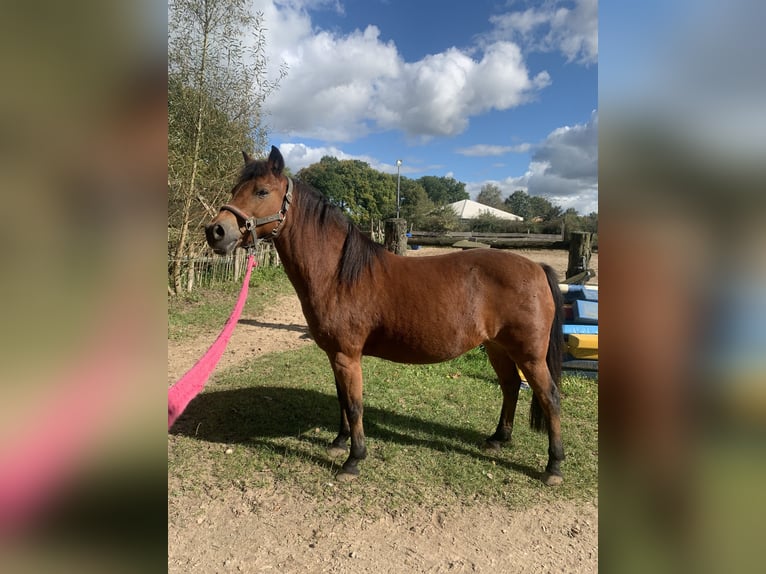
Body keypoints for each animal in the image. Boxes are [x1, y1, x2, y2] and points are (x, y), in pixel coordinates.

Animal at [207, 145, 568, 486]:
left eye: (262, 191)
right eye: (236, 187)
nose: (216, 231)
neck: (337, 274)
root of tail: (537, 267)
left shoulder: (347, 355)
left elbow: (354, 405)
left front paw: (353, 460)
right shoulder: (336, 355)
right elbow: (342, 400)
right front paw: (338, 442)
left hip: (529, 354)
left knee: (549, 397)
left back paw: (554, 466)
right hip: (498, 347)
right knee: (510, 386)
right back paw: (497, 439)